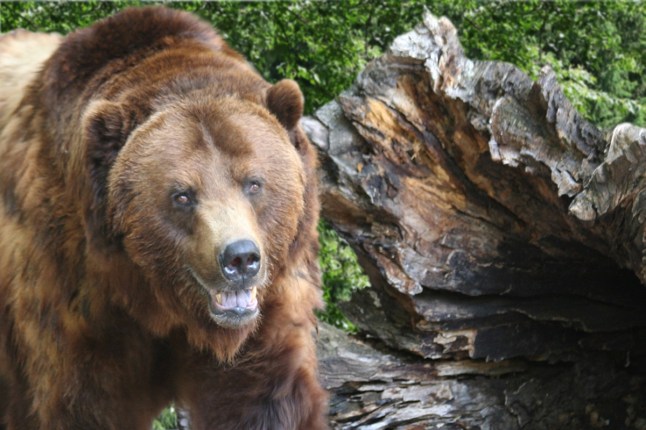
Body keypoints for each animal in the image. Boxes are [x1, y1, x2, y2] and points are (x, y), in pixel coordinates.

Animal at [0, 7, 327, 430]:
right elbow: (82, 404)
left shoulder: (271, 301)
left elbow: (265, 394)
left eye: (253, 183)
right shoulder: (72, 293)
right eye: (182, 194)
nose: (240, 258)